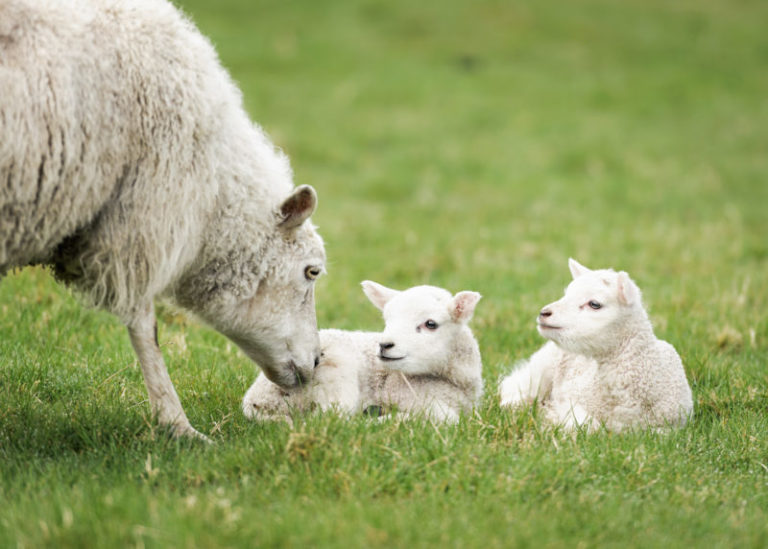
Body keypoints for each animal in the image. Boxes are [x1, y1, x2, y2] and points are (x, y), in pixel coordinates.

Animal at [0, 0, 326, 439]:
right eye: (312, 271)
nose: (317, 361)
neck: (211, 187)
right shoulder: (141, 218)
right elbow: (145, 325)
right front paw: (178, 425)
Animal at [242, 281, 484, 423]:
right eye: (387, 320)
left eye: (431, 324)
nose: (384, 345)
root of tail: (255, 400)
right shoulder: (406, 394)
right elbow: (447, 417)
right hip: (337, 374)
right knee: (330, 420)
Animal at [499, 259, 693, 432]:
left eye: (594, 304)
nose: (544, 313)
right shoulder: (573, 397)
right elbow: (589, 426)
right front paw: (550, 415)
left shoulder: (672, 426)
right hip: (541, 369)